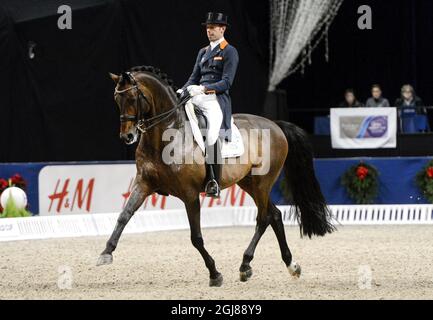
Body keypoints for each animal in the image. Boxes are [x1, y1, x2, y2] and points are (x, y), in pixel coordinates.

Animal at [97, 66, 334, 286]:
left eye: (132, 97)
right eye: (116, 99)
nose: (127, 136)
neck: (167, 134)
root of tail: (275, 125)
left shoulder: (190, 194)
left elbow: (196, 238)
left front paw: (214, 273)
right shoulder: (143, 184)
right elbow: (124, 215)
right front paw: (106, 253)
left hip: (262, 182)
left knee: (264, 218)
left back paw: (245, 265)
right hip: (248, 182)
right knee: (274, 215)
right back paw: (290, 265)